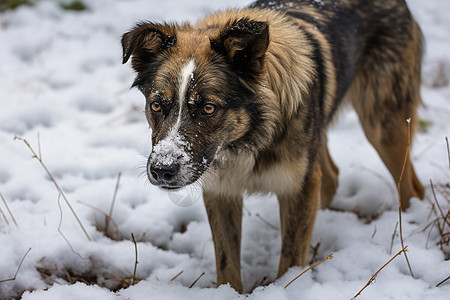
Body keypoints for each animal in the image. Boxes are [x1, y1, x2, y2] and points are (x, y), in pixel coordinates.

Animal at [121, 0, 424, 292]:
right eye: (156, 105)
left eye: (208, 108)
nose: (162, 171)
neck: (249, 135)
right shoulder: (222, 191)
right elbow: (227, 263)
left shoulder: (297, 188)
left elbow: (290, 259)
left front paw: (289, 286)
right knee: (331, 176)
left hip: (383, 125)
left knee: (411, 186)